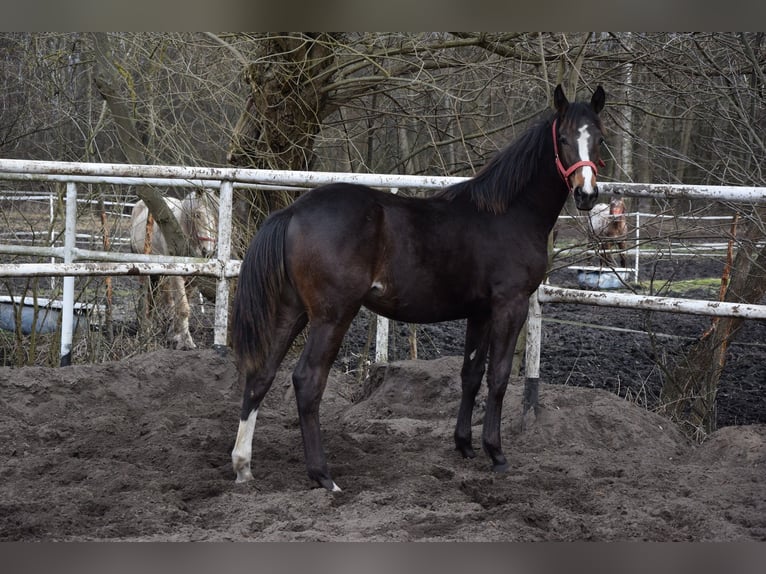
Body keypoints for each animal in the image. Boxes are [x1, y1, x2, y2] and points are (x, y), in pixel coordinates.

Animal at [129, 189, 218, 350]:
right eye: (197, 215)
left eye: (215, 216)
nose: (207, 251)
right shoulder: (176, 275)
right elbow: (183, 308)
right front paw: (186, 342)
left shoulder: (193, 278)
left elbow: (182, 305)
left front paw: (174, 335)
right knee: (145, 297)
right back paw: (144, 328)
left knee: (158, 298)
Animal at [231, 84, 606, 492]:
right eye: (564, 138)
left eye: (599, 139)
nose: (586, 194)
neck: (509, 213)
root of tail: (293, 211)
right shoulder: (511, 305)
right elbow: (499, 376)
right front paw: (496, 453)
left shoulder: (480, 312)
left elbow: (471, 375)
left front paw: (464, 446)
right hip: (332, 315)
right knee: (307, 381)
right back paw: (323, 476)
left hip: (292, 310)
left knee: (260, 375)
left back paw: (243, 466)